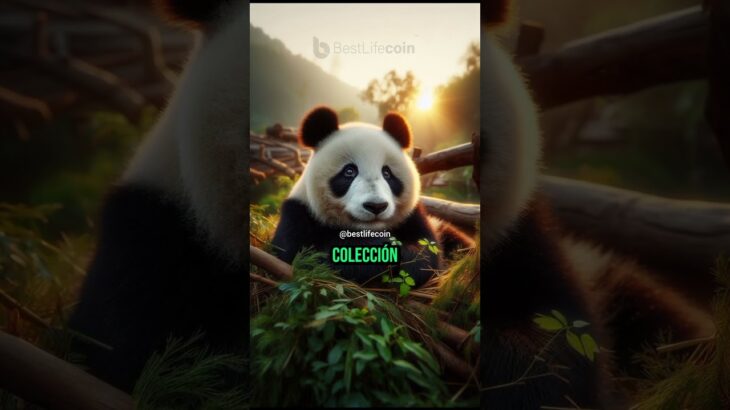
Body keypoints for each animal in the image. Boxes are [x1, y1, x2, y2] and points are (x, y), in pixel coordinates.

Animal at [270, 107, 473, 286]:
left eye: (387, 173)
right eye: (349, 171)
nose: (376, 206)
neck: (365, 231)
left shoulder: (413, 216)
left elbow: (427, 253)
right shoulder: (298, 213)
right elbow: (303, 256)